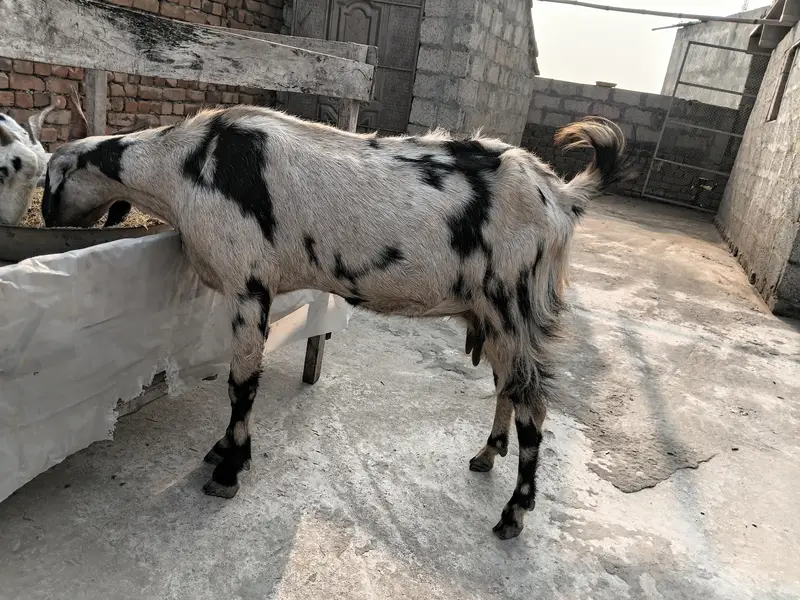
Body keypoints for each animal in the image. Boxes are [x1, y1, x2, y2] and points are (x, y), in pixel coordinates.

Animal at [41, 106, 628, 539]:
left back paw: (514, 512)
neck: (187, 163)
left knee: (534, 405)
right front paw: (224, 451)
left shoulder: (250, 285)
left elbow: (241, 384)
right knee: (509, 387)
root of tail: (562, 196)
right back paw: (487, 454)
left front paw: (229, 468)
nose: (45, 219)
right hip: (493, 313)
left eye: (51, 179)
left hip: (517, 304)